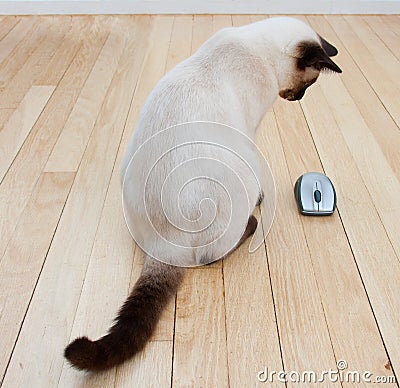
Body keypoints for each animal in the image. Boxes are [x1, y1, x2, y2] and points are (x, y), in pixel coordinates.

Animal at [65, 16, 340, 372]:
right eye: (308, 84)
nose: (298, 99)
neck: (257, 48)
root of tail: (164, 244)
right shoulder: (251, 132)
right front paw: (262, 199)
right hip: (239, 174)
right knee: (212, 255)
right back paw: (252, 222)